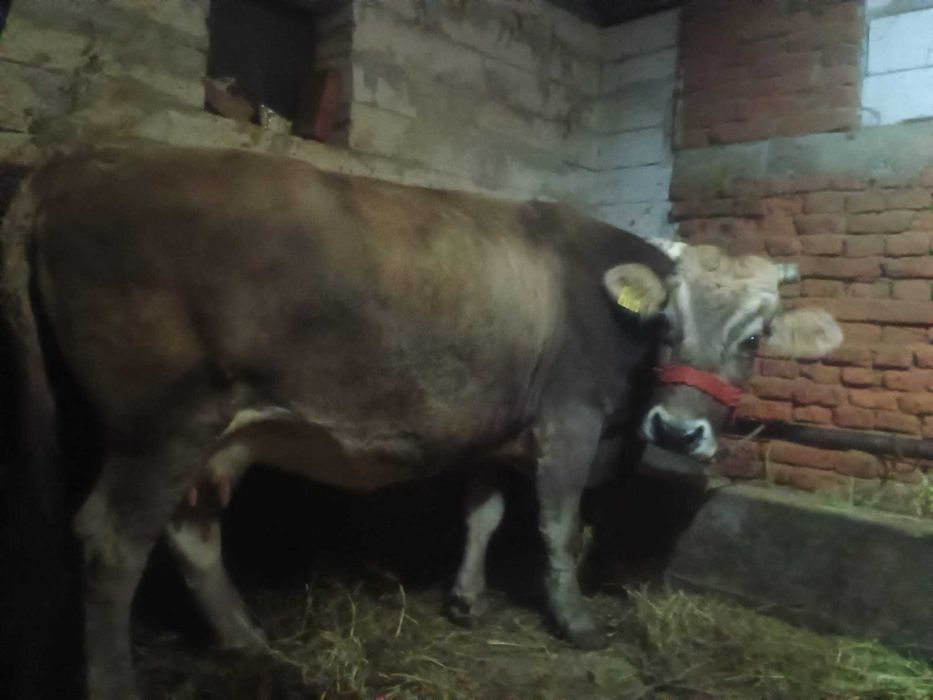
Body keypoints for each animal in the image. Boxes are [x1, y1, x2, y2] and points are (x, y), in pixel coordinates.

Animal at [0, 145, 842, 700]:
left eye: (756, 336)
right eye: (667, 321)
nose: (673, 431)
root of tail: (77, 163)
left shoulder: (496, 431)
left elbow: (483, 515)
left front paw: (467, 599)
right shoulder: (568, 423)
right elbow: (557, 526)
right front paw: (574, 620)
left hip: (211, 433)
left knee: (190, 532)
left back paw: (247, 639)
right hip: (162, 420)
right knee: (112, 542)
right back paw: (118, 682)